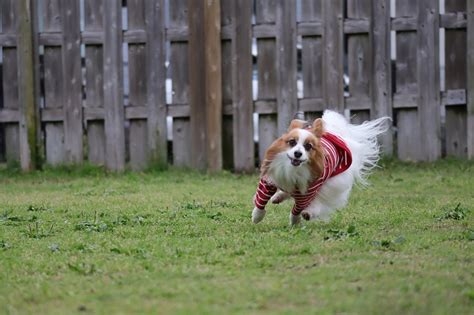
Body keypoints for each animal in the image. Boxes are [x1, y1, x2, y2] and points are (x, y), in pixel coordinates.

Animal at [252, 110, 388, 226]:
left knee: (320, 199)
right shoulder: (269, 180)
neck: (293, 171)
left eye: (308, 146)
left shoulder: (308, 192)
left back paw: (308, 212)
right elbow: (261, 200)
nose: (298, 153)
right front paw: (257, 216)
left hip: (332, 184)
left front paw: (295, 222)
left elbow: (297, 209)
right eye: (292, 142)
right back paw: (278, 197)